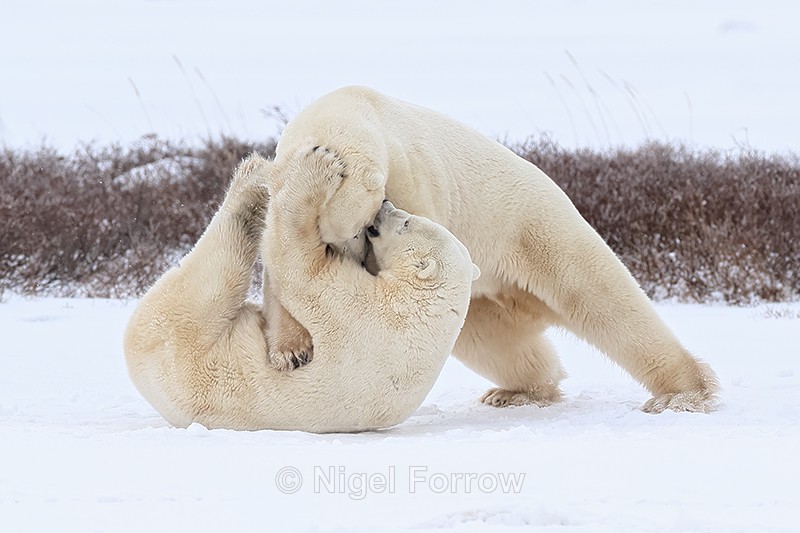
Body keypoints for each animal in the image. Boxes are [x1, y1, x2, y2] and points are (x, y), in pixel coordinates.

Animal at [123, 150, 478, 432]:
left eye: (406, 224)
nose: (385, 205)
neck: (420, 309)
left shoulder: (357, 312)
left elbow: (299, 265)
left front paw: (318, 167)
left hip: (182, 338)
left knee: (218, 268)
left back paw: (252, 178)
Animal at [264, 85, 719, 414]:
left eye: (362, 232)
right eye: (333, 238)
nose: (355, 259)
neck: (351, 106)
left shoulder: (412, 174)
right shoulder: (279, 183)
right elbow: (276, 259)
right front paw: (290, 350)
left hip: (535, 229)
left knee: (603, 298)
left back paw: (681, 394)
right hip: (486, 295)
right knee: (490, 339)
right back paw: (519, 391)